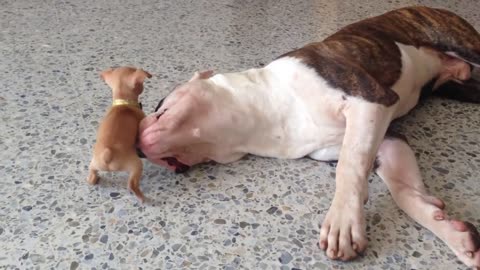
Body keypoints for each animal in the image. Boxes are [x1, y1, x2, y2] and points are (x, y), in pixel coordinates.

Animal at [87, 66, 152, 201]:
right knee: (132, 184)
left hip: (93, 164)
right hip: (135, 165)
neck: (123, 103)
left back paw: (94, 179)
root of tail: (107, 154)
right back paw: (142, 198)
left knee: (91, 176)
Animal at [137, 6, 478, 268]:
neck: (263, 118)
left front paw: (343, 223)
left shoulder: (369, 100)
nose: (136, 147)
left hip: (464, 45)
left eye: (159, 107)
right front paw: (453, 233)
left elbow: (350, 166)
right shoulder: (388, 143)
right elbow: (406, 192)